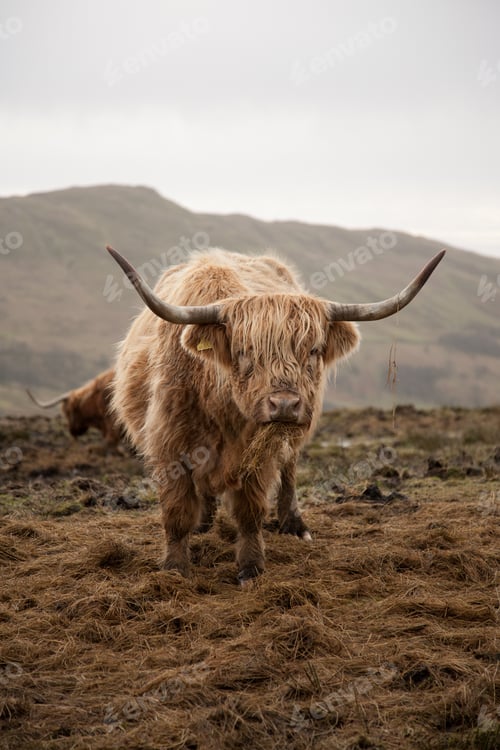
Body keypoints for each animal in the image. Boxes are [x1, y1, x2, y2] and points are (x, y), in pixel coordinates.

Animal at [107, 245, 445, 584]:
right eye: (244, 352)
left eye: (313, 350)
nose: (284, 405)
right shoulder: (168, 445)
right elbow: (177, 513)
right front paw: (175, 568)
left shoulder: (260, 453)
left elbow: (250, 512)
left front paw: (251, 566)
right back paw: (204, 521)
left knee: (290, 472)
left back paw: (294, 525)